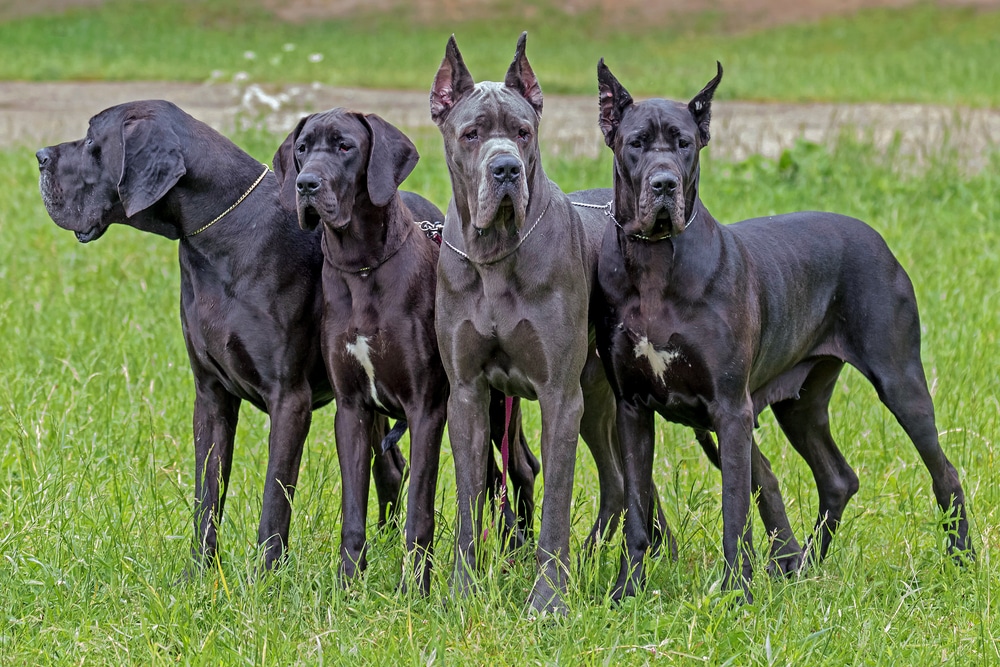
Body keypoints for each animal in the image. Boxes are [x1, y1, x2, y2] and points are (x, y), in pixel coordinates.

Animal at [36, 99, 410, 576]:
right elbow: (207, 492)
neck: (221, 232)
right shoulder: (211, 395)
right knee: (391, 467)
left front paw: (266, 577)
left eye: (90, 142)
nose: (40, 156)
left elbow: (275, 496)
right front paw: (200, 572)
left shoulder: (290, 399)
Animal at [272, 109, 540, 596]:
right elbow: (354, 510)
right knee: (492, 477)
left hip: (494, 406)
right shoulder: (352, 408)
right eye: (302, 148)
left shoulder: (427, 408)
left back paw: (523, 551)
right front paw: (348, 584)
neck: (361, 268)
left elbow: (419, 509)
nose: (306, 184)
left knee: (522, 469)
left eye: (345, 146)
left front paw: (415, 589)